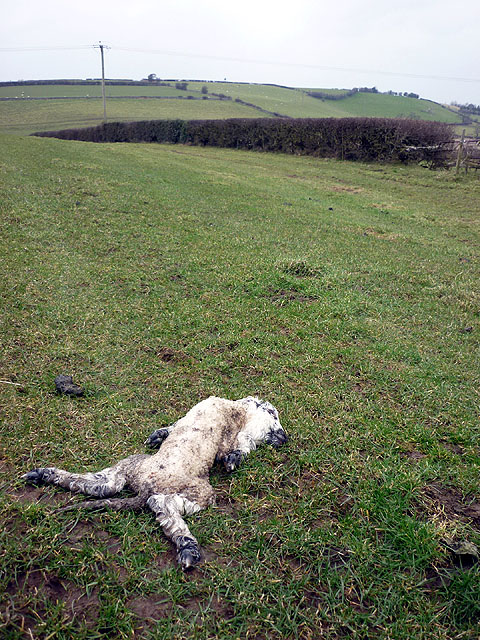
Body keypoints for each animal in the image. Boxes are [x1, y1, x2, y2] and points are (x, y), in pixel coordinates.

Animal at [22, 396, 286, 568]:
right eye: (274, 416)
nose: (284, 437)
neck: (236, 405)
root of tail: (147, 486)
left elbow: (172, 428)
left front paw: (157, 435)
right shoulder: (236, 431)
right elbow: (241, 445)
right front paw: (235, 458)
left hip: (128, 468)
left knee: (101, 485)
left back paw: (43, 474)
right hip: (200, 491)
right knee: (163, 506)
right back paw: (189, 549)